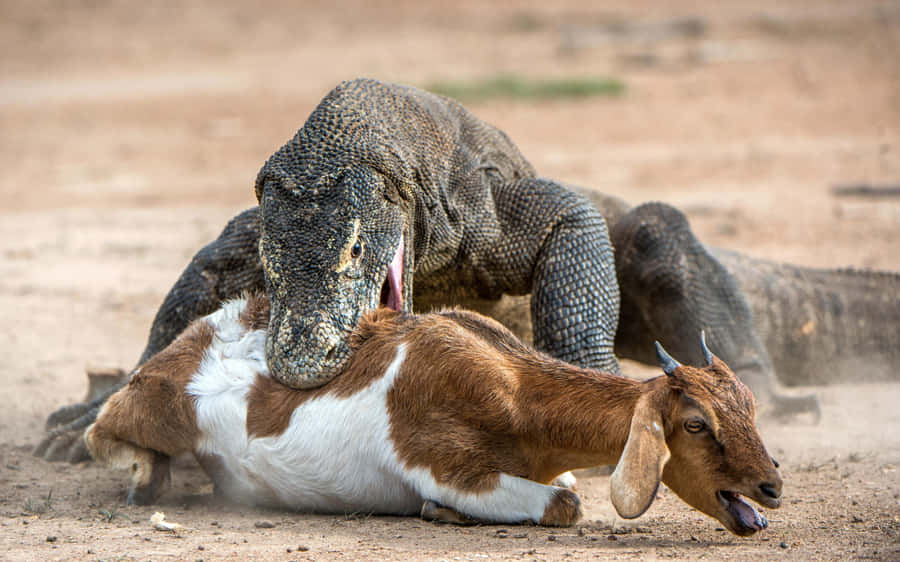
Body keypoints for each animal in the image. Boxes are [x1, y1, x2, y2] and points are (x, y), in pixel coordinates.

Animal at [85, 293, 782, 536]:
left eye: (749, 408)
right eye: (696, 424)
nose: (770, 486)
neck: (515, 392)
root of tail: (221, 321)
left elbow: (562, 487)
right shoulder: (445, 464)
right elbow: (565, 503)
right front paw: (437, 511)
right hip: (156, 404)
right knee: (102, 427)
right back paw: (146, 477)